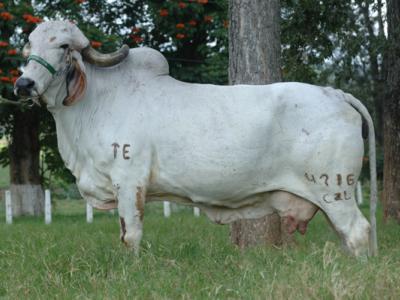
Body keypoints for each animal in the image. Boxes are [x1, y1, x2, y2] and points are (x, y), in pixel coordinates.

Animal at [14, 20, 378, 255]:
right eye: (30, 44)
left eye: (63, 46)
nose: (24, 84)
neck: (96, 103)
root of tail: (334, 93)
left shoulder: (129, 181)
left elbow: (131, 236)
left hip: (335, 190)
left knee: (358, 233)